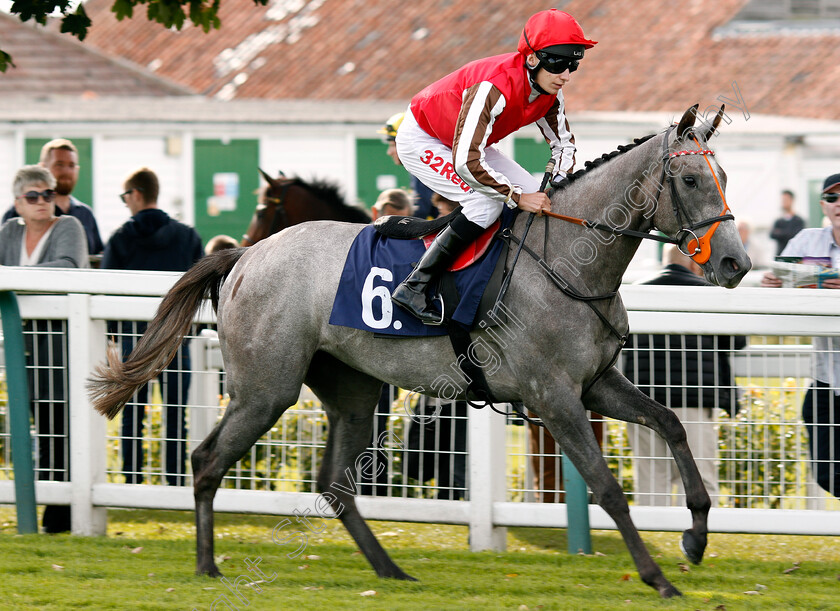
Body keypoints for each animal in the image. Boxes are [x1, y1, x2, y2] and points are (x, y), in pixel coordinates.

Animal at [90, 105, 748, 596]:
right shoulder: (553, 397)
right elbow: (607, 488)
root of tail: (247, 256)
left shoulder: (595, 384)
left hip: (352, 389)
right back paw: (207, 565)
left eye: (723, 174)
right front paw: (658, 577)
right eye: (691, 179)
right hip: (265, 388)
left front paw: (695, 538)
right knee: (206, 459)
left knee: (334, 486)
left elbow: (671, 423)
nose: (735, 263)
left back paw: (389, 569)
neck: (564, 261)